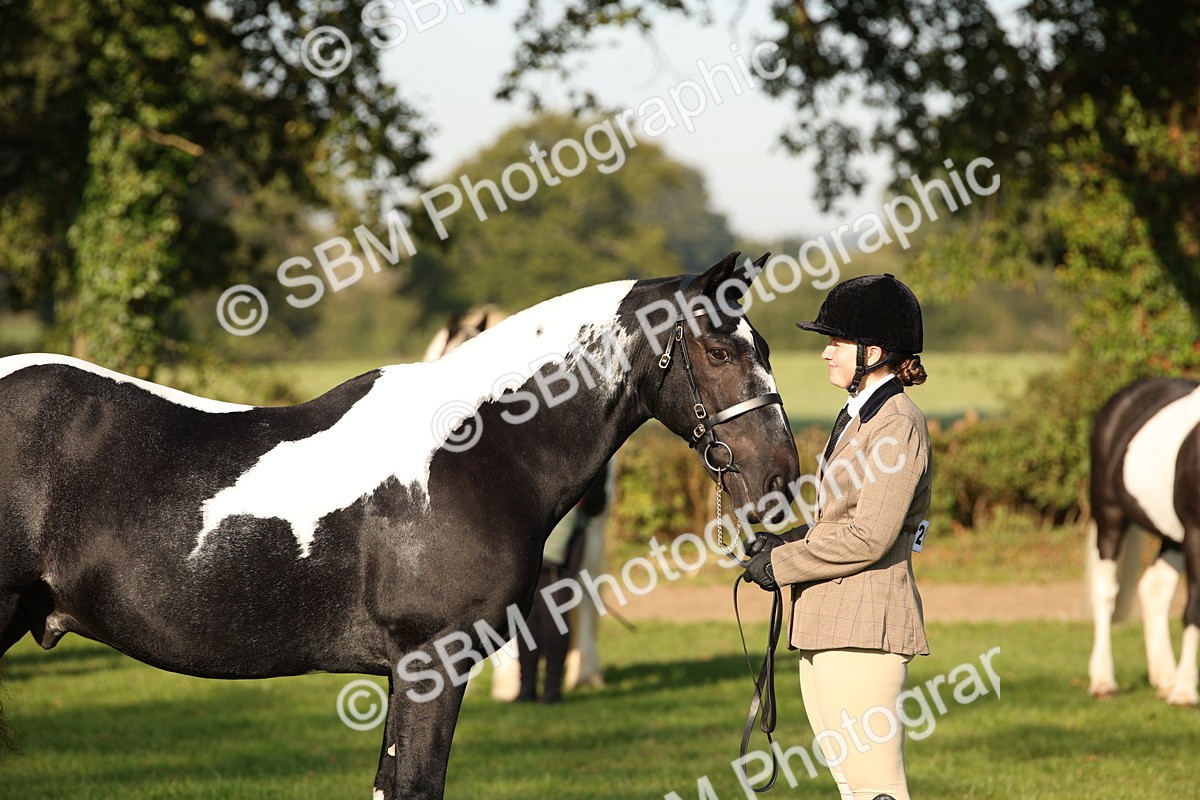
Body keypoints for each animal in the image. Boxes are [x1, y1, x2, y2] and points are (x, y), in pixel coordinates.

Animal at [1087, 376, 1200, 705]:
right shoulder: (1196, 533)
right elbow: (1194, 608)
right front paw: (1185, 692)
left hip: (1173, 535)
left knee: (1155, 588)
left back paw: (1166, 678)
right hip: (1109, 517)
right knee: (1105, 593)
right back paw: (1103, 680)